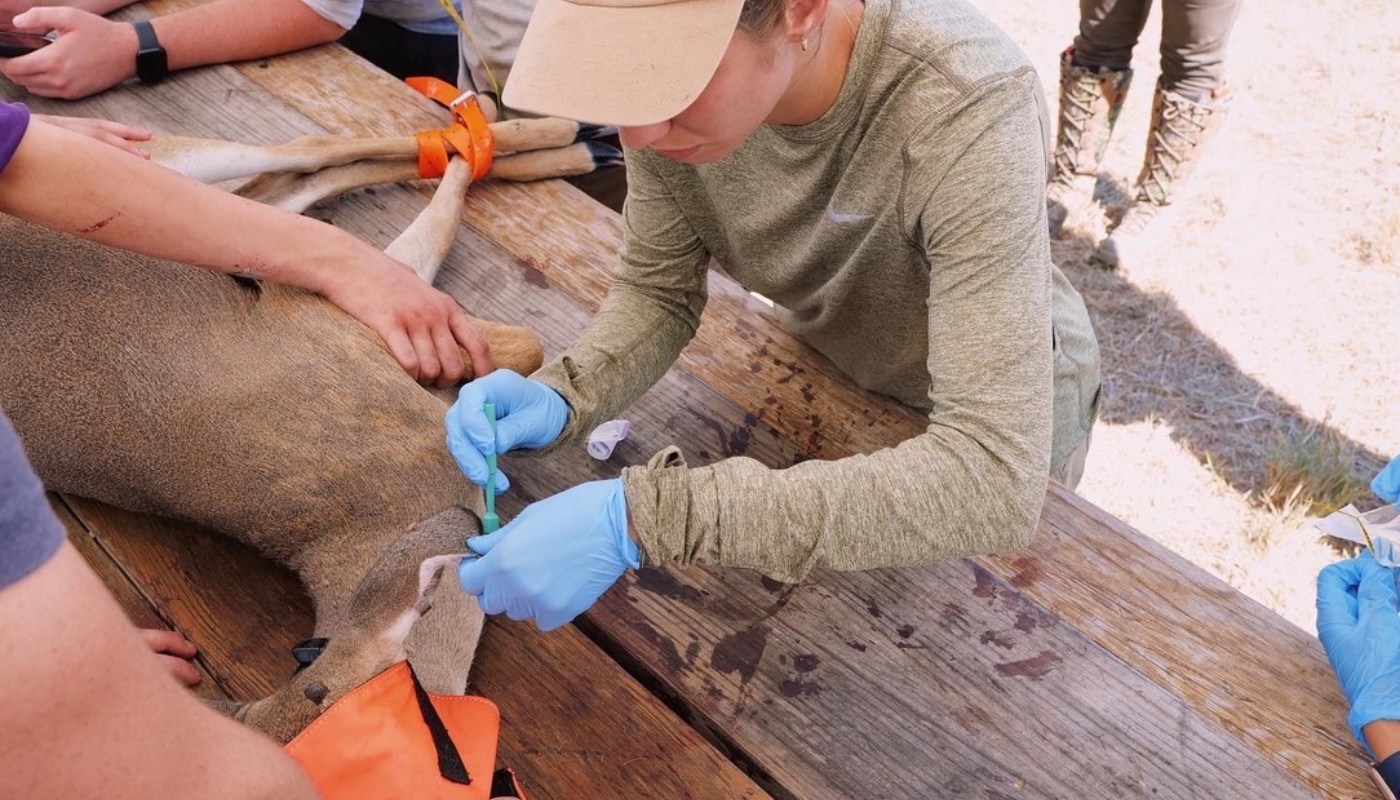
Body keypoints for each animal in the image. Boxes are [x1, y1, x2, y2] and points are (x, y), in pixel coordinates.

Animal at [0, 109, 618, 750]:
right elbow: (522, 341)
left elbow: (521, 343)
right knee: (297, 174)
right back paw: (559, 143)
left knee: (303, 154)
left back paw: (530, 135)